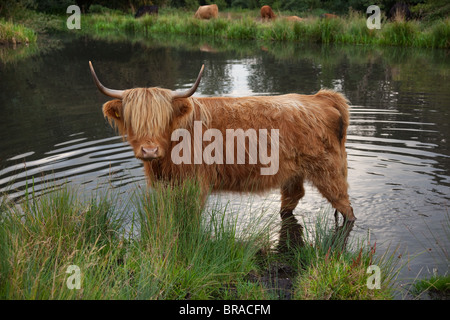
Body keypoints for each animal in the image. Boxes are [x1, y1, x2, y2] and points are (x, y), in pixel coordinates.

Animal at [88, 62, 356, 226]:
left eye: (163, 119)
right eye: (133, 120)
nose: (150, 150)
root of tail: (321, 97)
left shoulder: (194, 184)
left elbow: (189, 221)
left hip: (330, 172)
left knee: (346, 208)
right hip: (294, 173)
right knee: (292, 197)